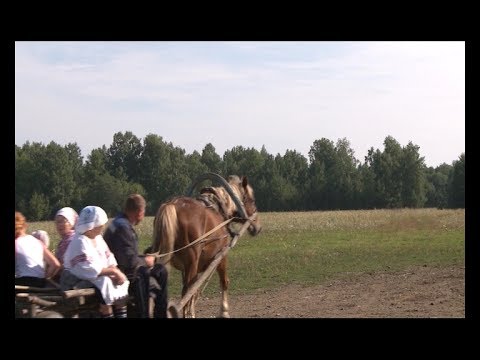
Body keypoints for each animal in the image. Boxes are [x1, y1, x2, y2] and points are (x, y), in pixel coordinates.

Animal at [151, 174, 260, 318]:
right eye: (252, 200)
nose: (257, 227)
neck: (219, 208)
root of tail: (172, 205)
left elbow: (195, 292)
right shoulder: (222, 255)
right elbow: (224, 282)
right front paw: (224, 312)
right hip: (192, 262)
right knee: (187, 292)